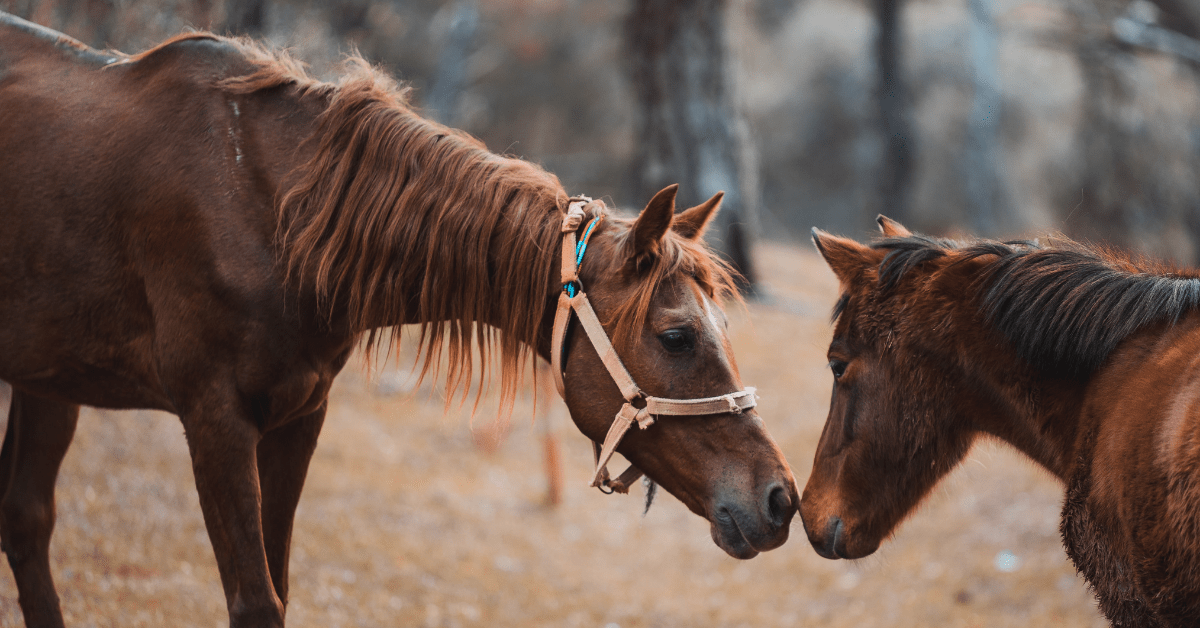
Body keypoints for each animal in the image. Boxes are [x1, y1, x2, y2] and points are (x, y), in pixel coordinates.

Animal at [0, 13, 799, 627]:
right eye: (677, 336)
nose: (780, 499)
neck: (271, 212)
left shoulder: (298, 418)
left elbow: (278, 585)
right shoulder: (215, 422)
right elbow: (255, 601)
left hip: (49, 381)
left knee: (26, 520)